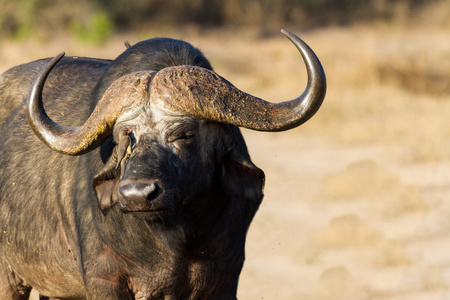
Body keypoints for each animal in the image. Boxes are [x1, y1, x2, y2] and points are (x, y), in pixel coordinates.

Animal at [0, 28, 326, 300]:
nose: (136, 195)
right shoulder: (104, 279)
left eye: (184, 134)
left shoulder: (225, 277)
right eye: (122, 137)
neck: (173, 238)